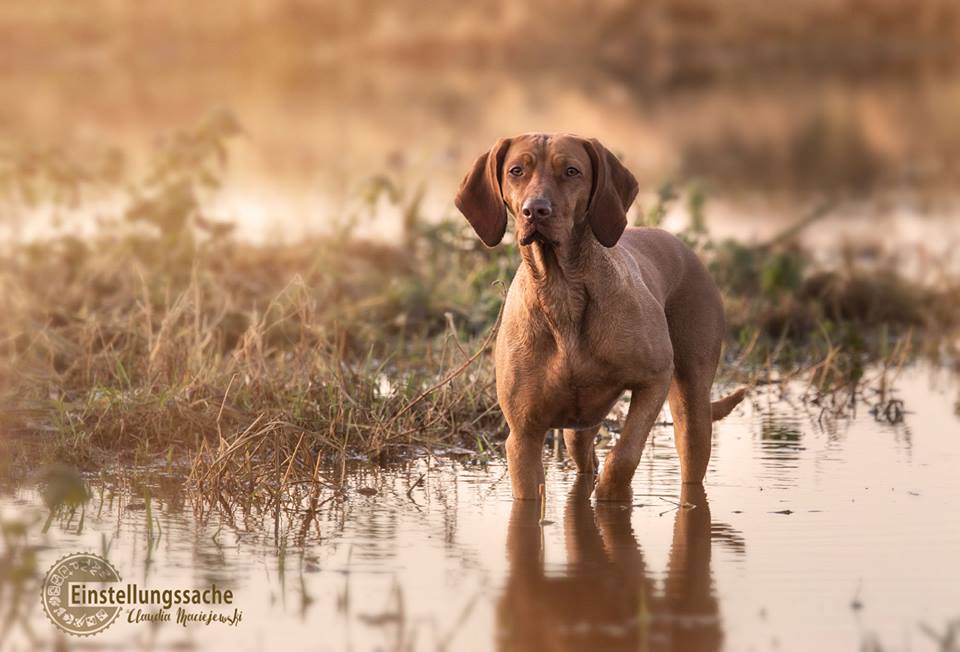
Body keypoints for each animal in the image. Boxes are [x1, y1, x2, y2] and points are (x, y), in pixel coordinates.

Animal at [454, 132, 748, 500]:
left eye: (571, 171)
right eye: (516, 171)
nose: (535, 210)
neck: (562, 291)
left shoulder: (655, 378)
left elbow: (625, 453)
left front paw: (610, 494)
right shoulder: (523, 436)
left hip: (691, 404)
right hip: (579, 424)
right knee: (582, 455)